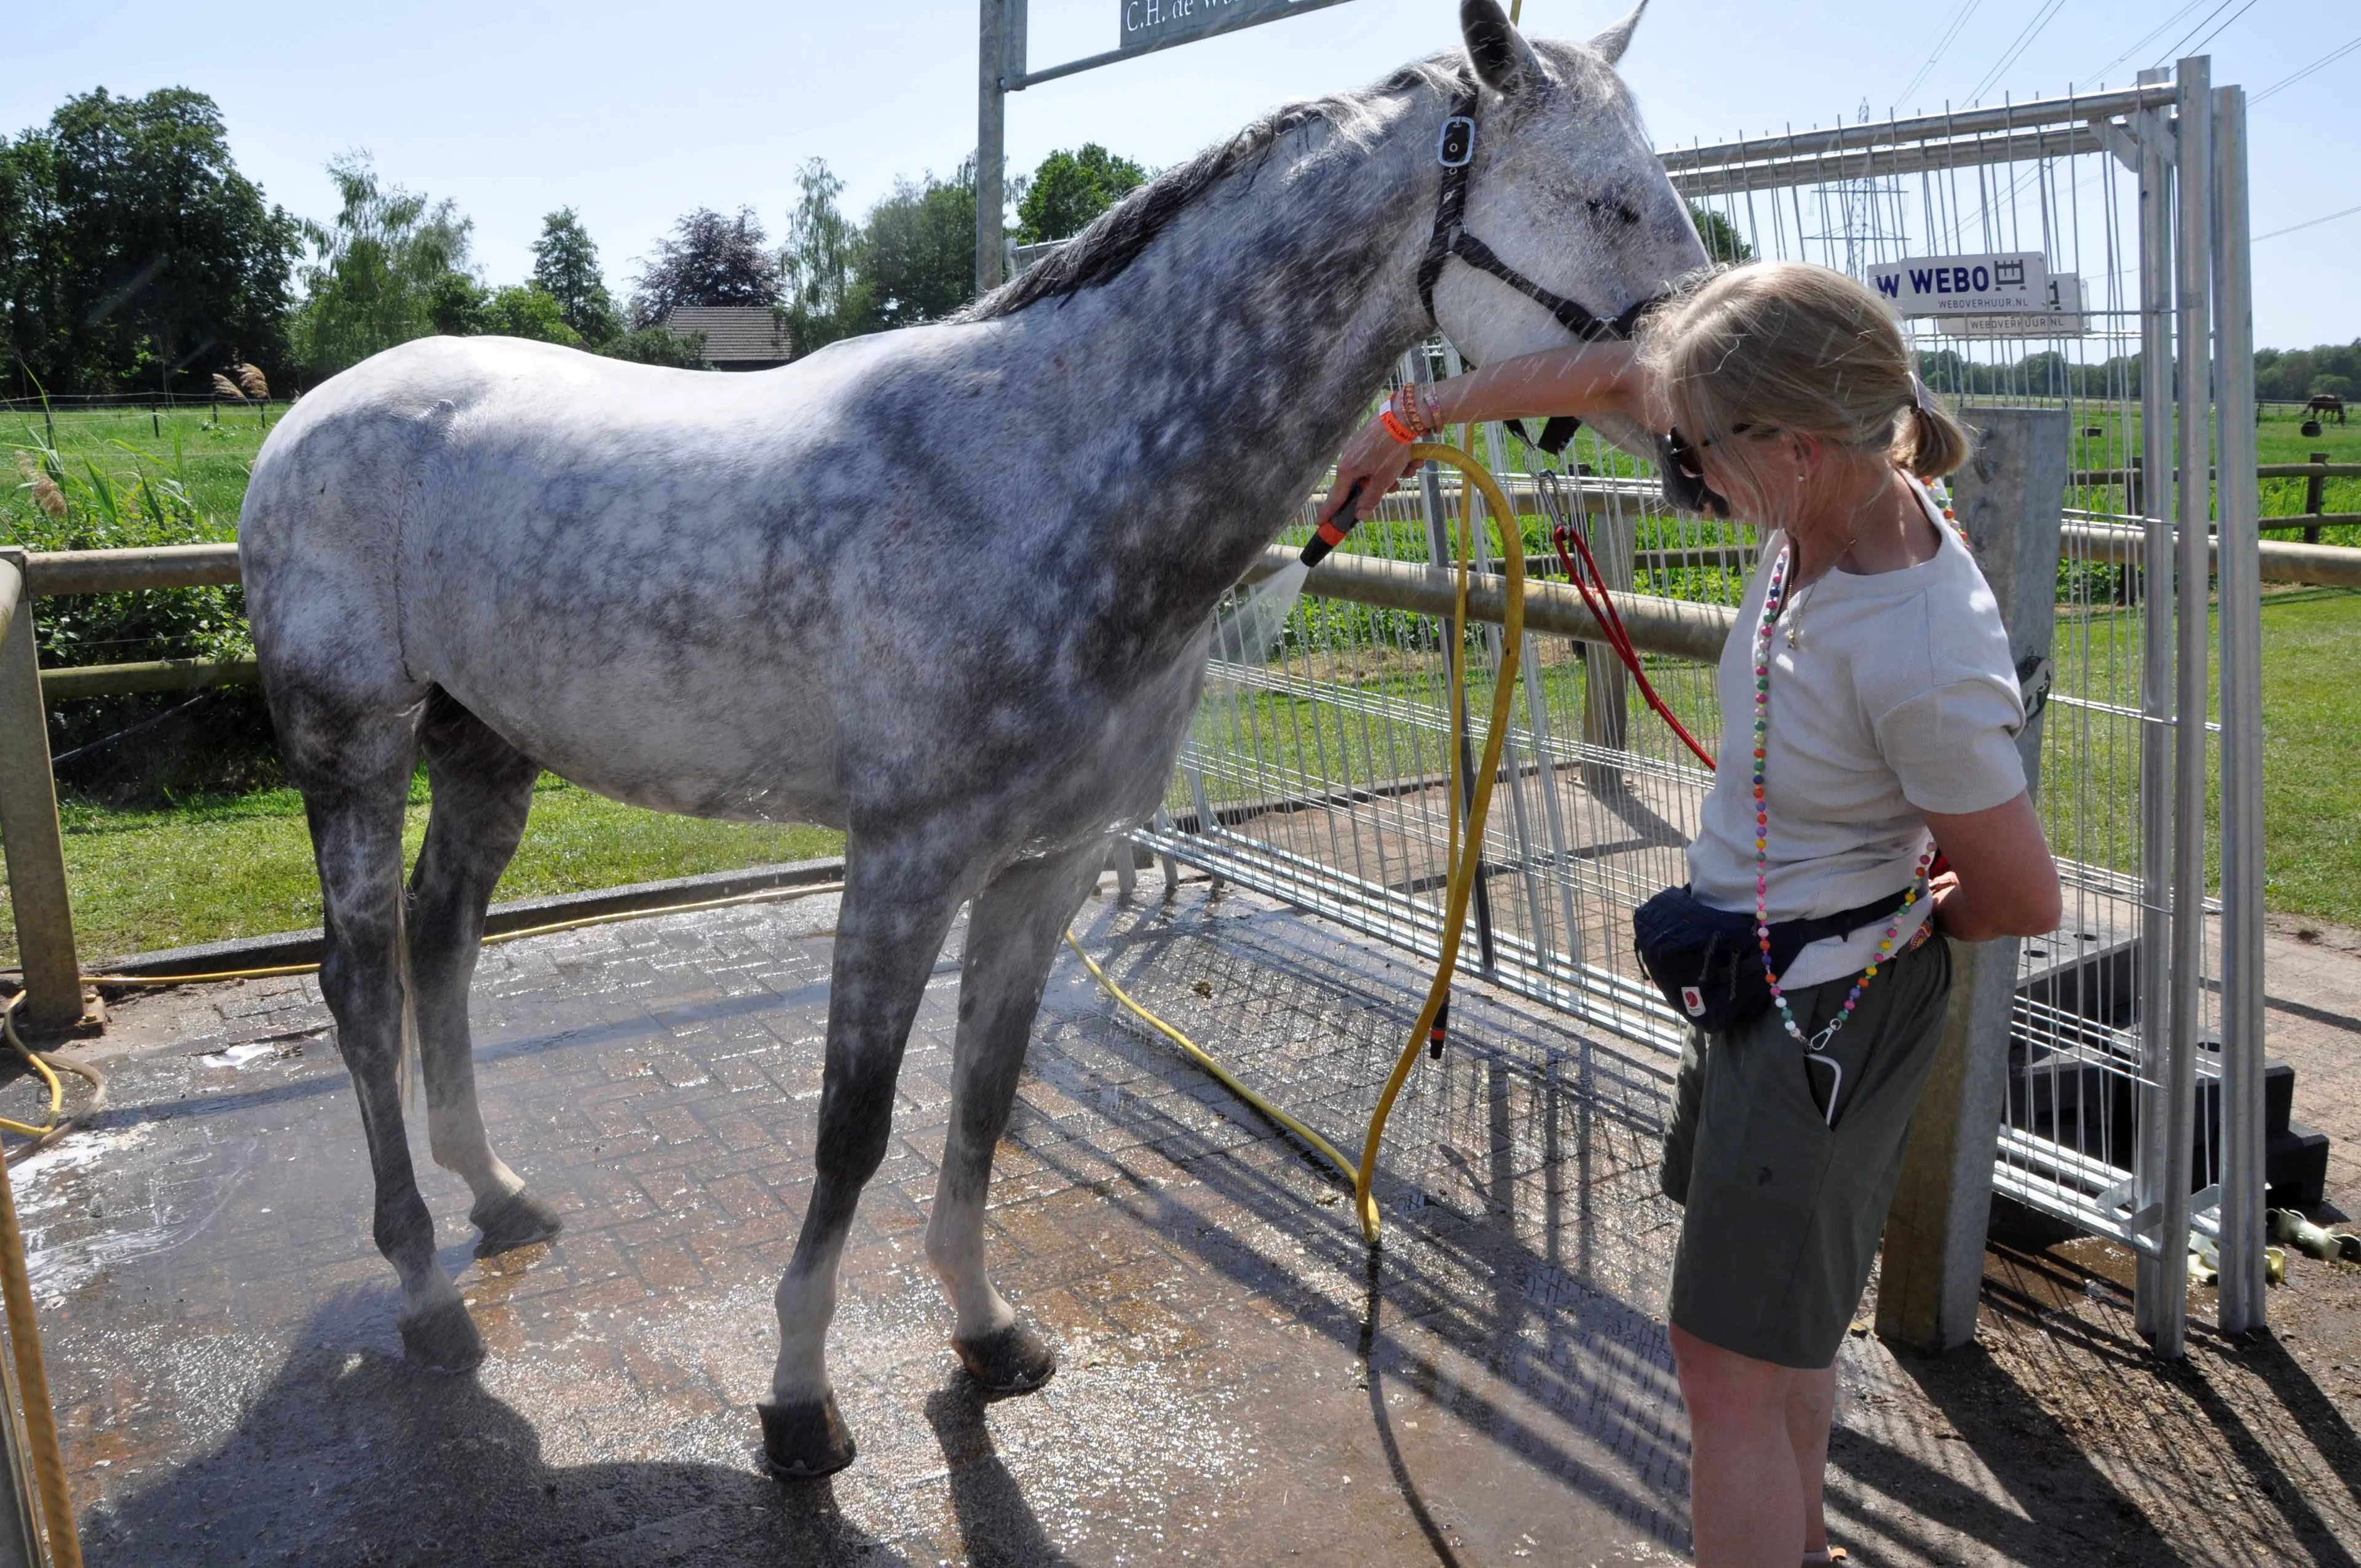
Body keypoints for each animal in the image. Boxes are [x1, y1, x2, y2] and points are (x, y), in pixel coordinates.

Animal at [239, 0, 1705, 1478]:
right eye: (1606, 198)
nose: (1700, 410)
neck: (1047, 475)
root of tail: (307, 415)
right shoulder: (905, 864)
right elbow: (853, 1129)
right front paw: (798, 1400)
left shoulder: (1047, 869)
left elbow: (984, 1101)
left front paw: (988, 1331)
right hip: (353, 749)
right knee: (360, 986)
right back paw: (424, 1287)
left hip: (486, 749)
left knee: (442, 942)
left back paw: (498, 1196)